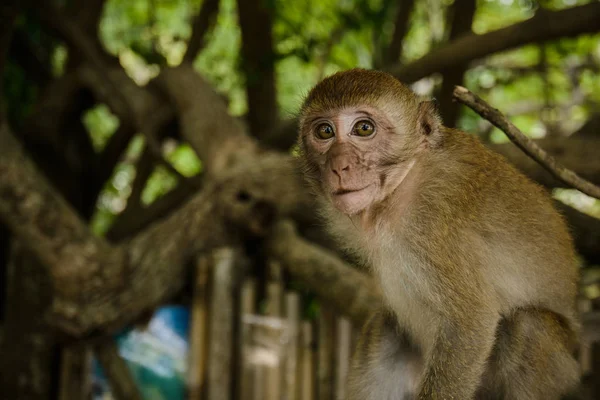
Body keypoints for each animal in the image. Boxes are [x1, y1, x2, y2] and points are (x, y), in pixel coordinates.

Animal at [298, 69, 580, 400]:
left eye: (364, 128)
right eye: (325, 132)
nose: (339, 166)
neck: (402, 186)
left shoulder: (435, 222)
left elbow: (469, 322)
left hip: (561, 372)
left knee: (528, 325)